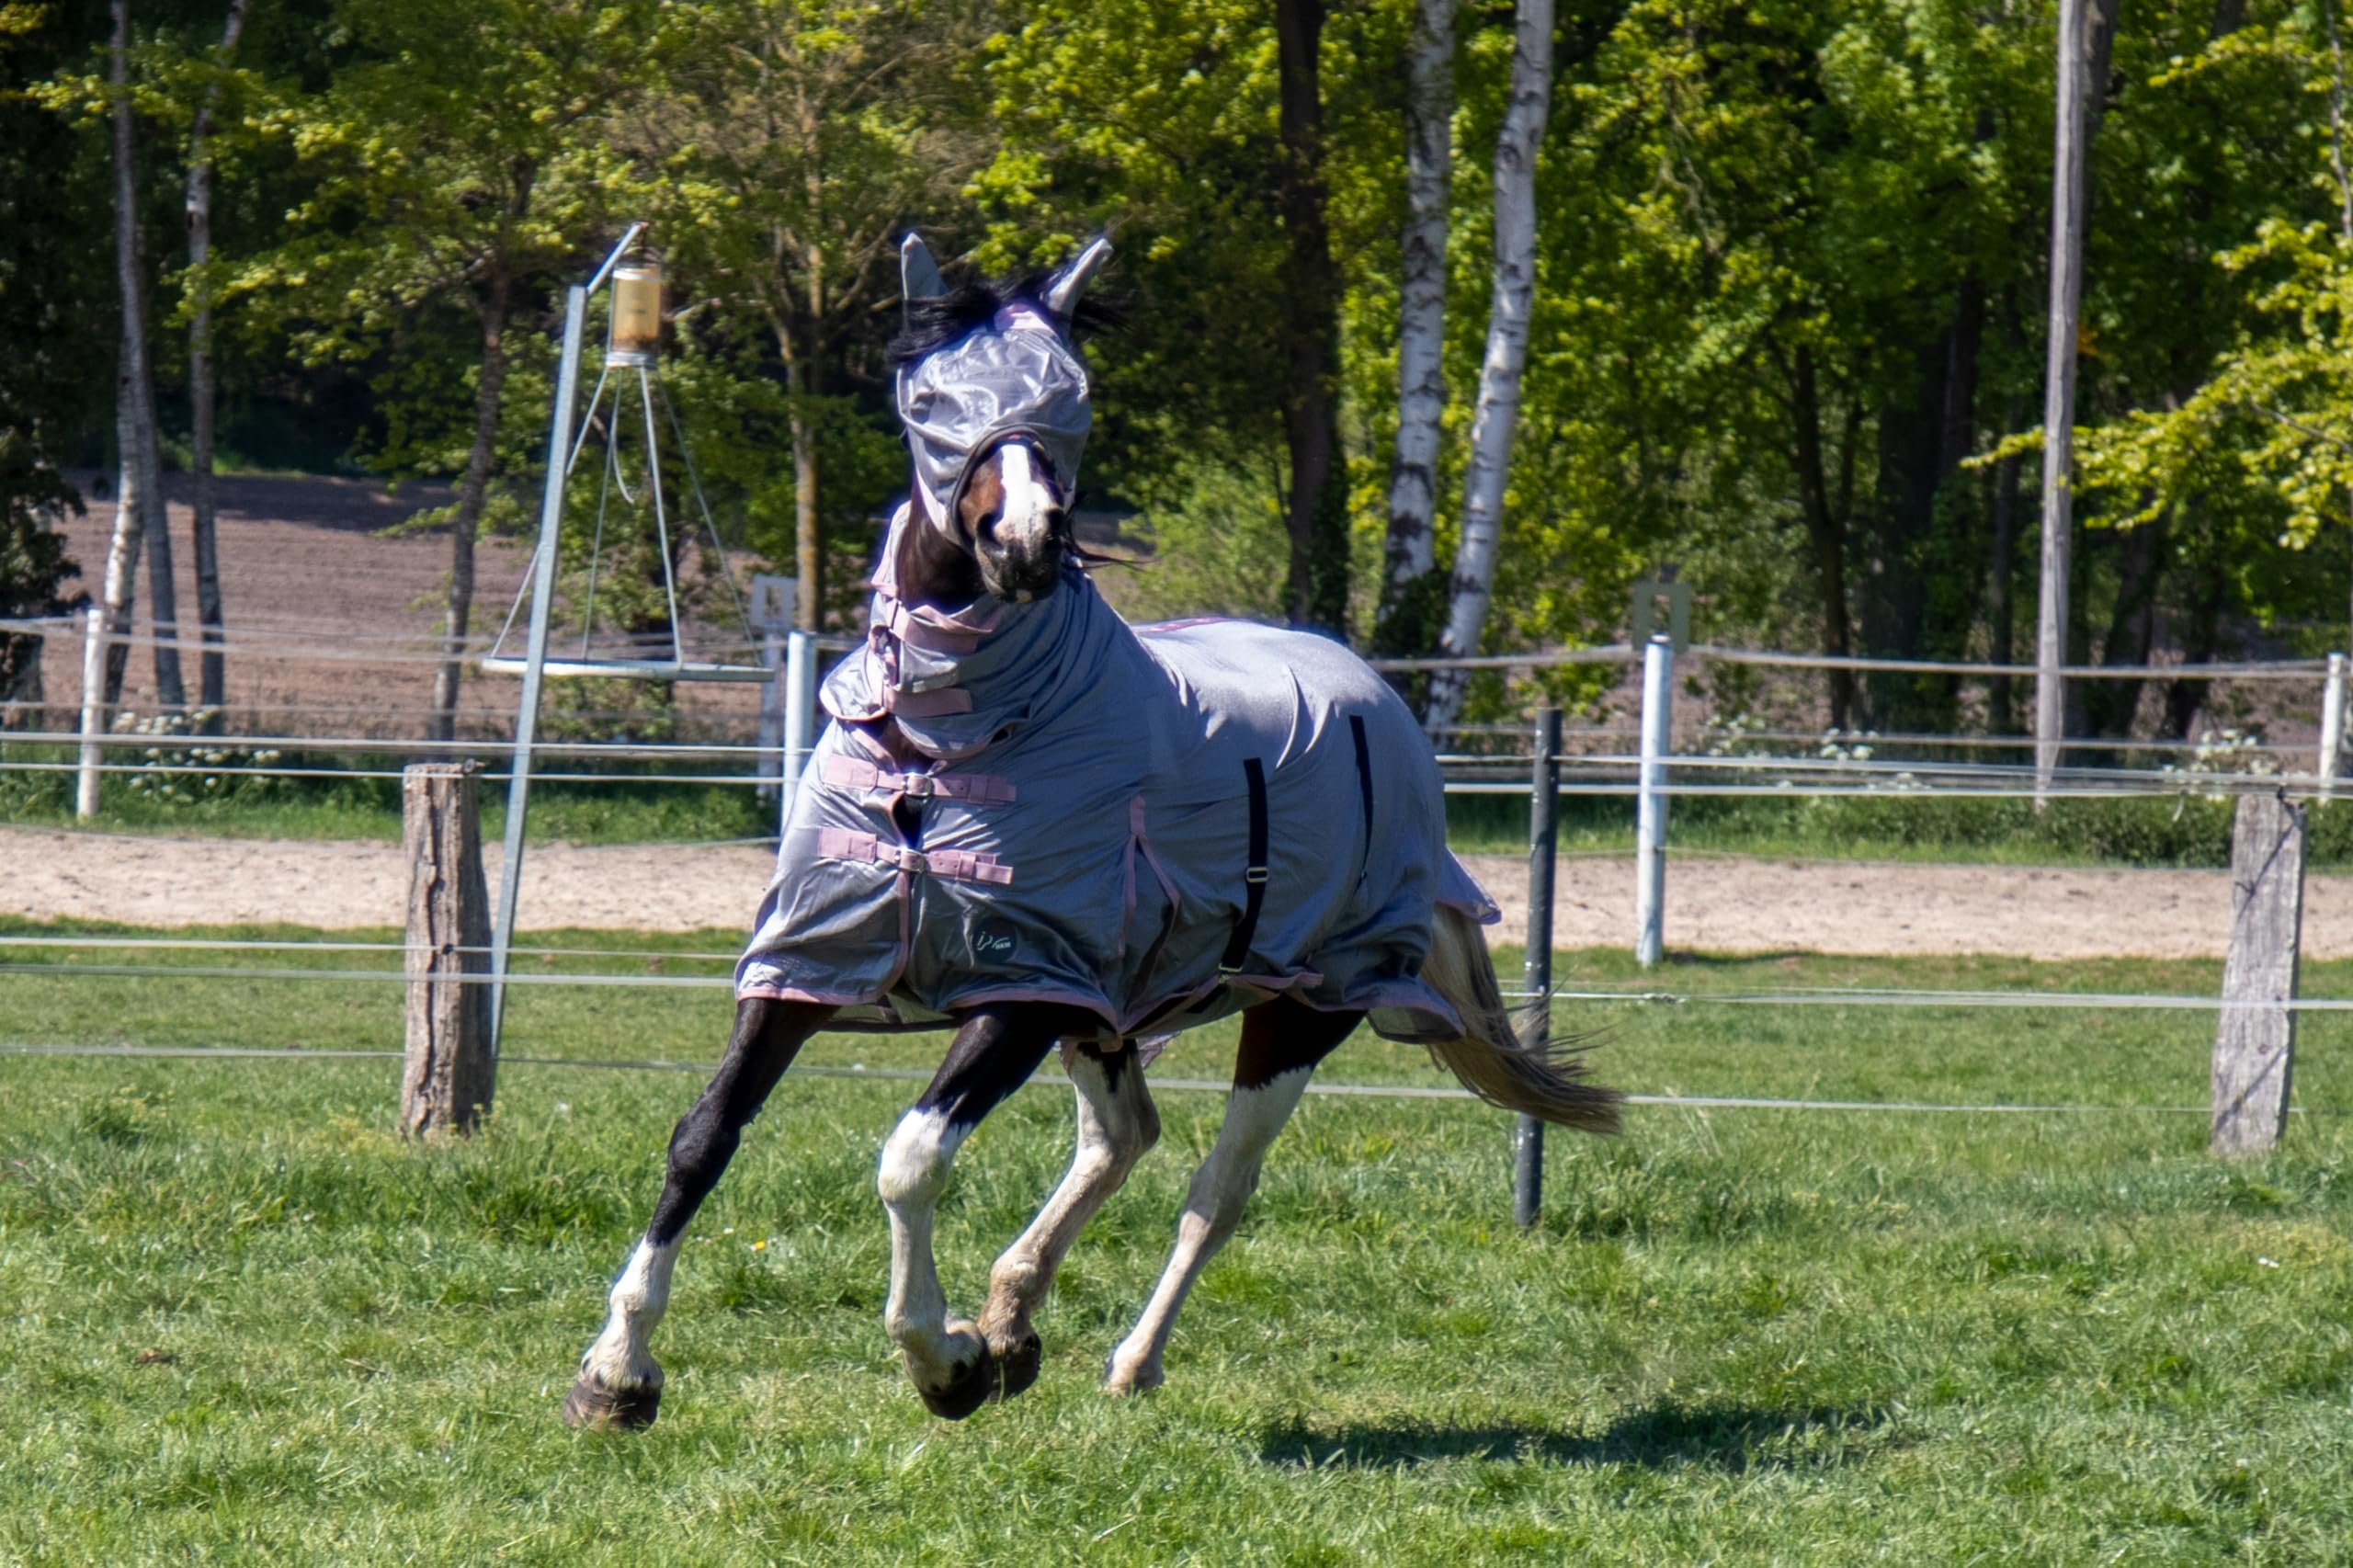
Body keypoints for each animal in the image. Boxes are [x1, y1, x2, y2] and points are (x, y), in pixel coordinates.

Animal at [560, 235, 1620, 1430]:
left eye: (1071, 395)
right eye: (929, 396)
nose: (1022, 540)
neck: (940, 749)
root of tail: (1377, 699)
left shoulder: (1022, 987)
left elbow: (909, 1159)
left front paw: (943, 1360)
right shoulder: (808, 966)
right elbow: (703, 1136)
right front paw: (616, 1369)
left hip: (1303, 1008)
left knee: (1215, 1188)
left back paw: (1125, 1358)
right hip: (1113, 1012)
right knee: (1123, 1138)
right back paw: (1016, 1312)